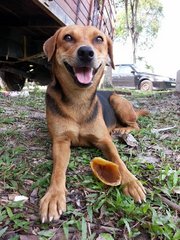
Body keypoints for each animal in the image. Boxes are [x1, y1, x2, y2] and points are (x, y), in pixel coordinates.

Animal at [40, 25, 147, 222]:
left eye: (99, 39)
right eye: (68, 37)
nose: (86, 52)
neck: (78, 99)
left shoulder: (104, 140)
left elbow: (118, 160)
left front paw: (131, 181)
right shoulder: (60, 141)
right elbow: (58, 169)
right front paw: (54, 195)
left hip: (117, 101)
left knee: (136, 125)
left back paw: (121, 130)